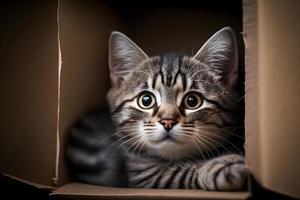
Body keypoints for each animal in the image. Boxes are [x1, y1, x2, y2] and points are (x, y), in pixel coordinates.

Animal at [67, 27, 247, 191]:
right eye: (146, 100)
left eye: (192, 101)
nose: (167, 121)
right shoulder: (143, 172)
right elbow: (178, 174)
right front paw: (221, 167)